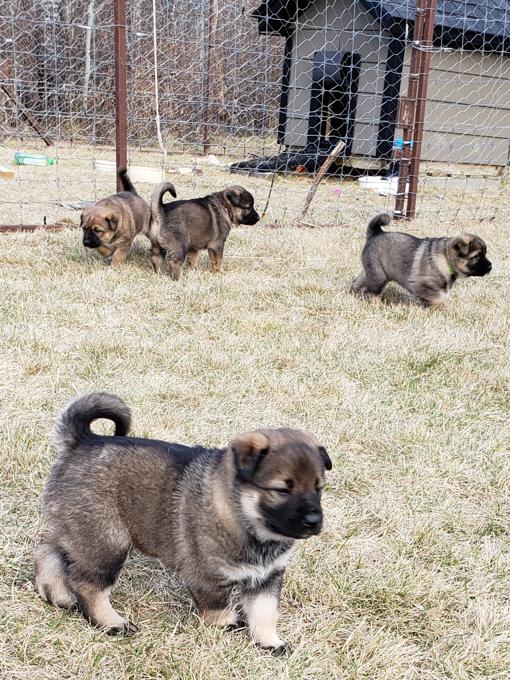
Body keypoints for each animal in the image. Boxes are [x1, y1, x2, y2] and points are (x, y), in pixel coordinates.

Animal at [34, 394, 330, 652]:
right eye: (282, 490)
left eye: (318, 488)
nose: (314, 520)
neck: (242, 516)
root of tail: (83, 440)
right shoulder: (206, 575)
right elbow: (217, 607)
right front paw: (227, 624)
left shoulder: (268, 577)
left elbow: (265, 612)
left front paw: (270, 642)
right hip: (106, 541)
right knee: (88, 584)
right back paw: (111, 622)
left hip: (77, 528)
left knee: (48, 549)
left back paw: (57, 594)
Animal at [350, 214, 490, 306]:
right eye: (477, 257)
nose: (490, 267)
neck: (446, 259)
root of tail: (376, 233)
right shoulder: (419, 283)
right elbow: (438, 298)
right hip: (379, 276)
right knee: (372, 292)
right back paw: (377, 305)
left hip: (373, 270)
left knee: (358, 281)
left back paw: (352, 293)